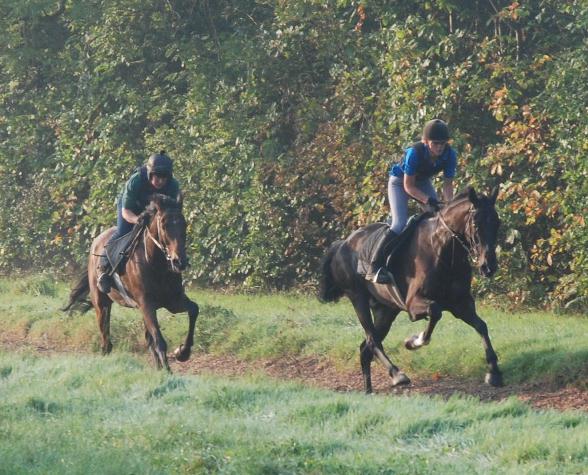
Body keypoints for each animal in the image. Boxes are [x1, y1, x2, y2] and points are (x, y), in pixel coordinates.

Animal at [63, 193, 199, 372]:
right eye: (164, 225)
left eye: (184, 224)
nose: (179, 262)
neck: (156, 264)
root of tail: (96, 240)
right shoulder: (146, 303)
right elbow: (159, 339)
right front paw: (168, 371)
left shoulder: (173, 301)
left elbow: (194, 310)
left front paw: (182, 352)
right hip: (101, 301)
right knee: (105, 337)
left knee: (147, 338)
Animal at [320, 188, 504, 392]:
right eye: (476, 223)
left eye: (497, 223)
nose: (489, 266)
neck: (444, 249)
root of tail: (342, 244)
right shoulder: (413, 303)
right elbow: (435, 311)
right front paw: (414, 341)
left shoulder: (461, 304)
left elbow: (481, 326)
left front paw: (494, 372)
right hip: (358, 298)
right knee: (372, 341)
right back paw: (397, 374)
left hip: (386, 310)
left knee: (365, 347)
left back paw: (368, 390)